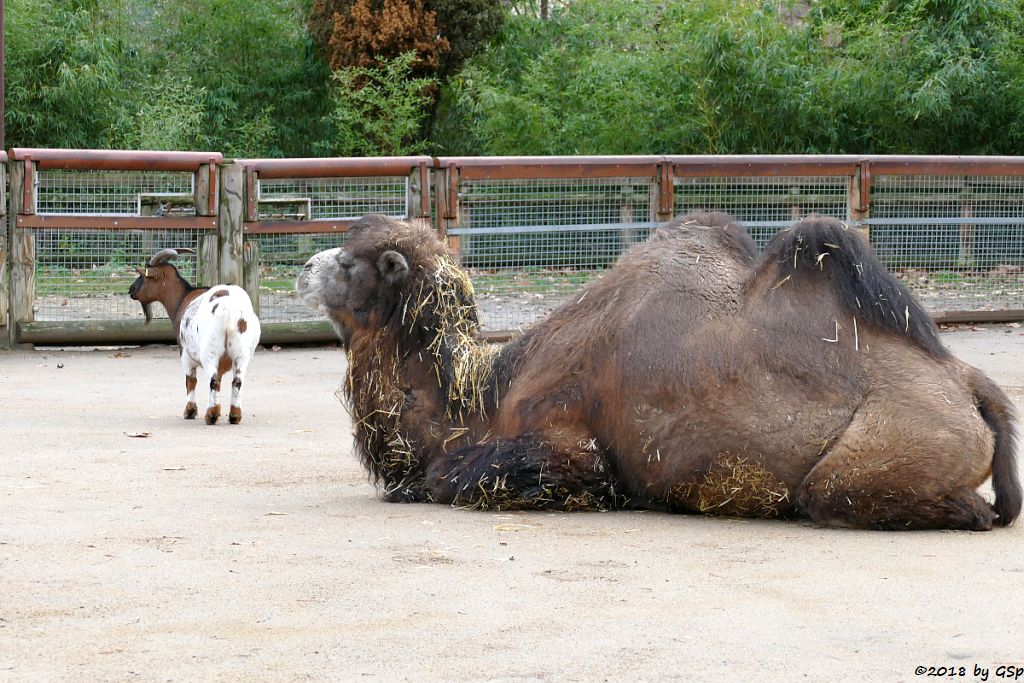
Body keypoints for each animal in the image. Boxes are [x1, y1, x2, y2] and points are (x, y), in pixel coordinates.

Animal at [128, 248, 262, 423]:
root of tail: (229, 310)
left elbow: (190, 381)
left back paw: (211, 415)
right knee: (236, 381)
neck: (182, 298)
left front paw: (190, 411)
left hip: (209, 351)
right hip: (242, 352)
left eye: (143, 275)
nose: (130, 290)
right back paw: (234, 415)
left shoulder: (185, 353)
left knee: (213, 380)